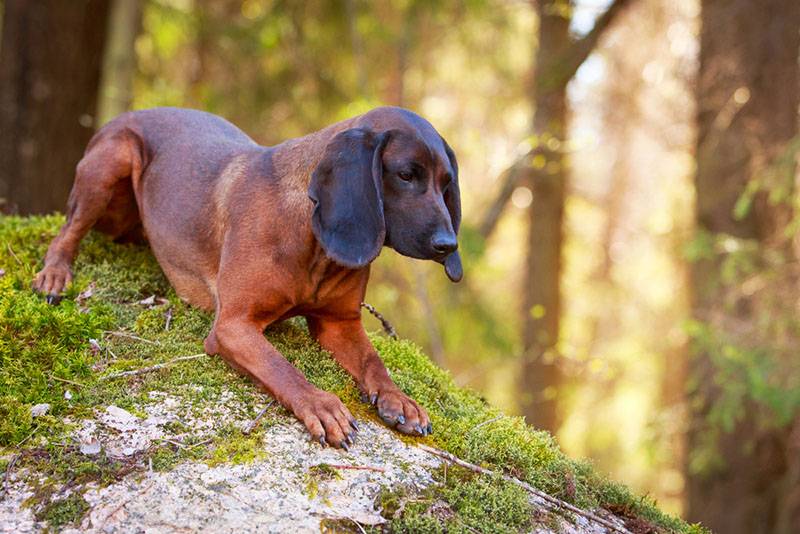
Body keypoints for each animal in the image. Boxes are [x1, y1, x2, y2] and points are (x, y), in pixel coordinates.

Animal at [32, 107, 462, 450]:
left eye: (446, 185)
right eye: (406, 175)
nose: (448, 244)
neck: (312, 241)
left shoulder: (340, 323)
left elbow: (374, 363)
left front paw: (399, 398)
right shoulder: (232, 325)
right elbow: (281, 367)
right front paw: (321, 404)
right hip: (110, 163)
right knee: (67, 231)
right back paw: (54, 275)